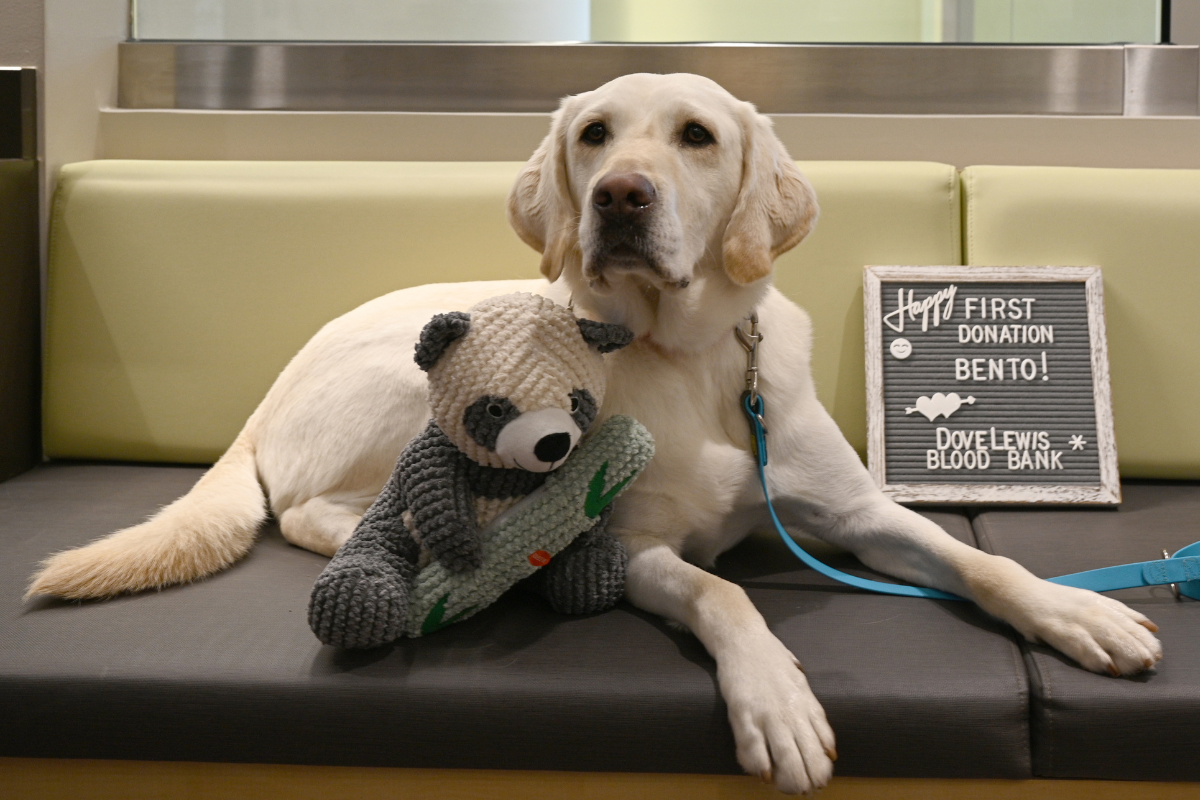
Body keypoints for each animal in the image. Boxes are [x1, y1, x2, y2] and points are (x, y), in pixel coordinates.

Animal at [32, 73, 1161, 796]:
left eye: (697, 135)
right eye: (595, 135)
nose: (622, 194)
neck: (693, 358)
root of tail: (270, 392)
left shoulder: (855, 512)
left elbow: (978, 563)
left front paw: (1079, 612)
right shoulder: (630, 544)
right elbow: (725, 591)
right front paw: (776, 699)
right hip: (425, 380)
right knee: (314, 509)